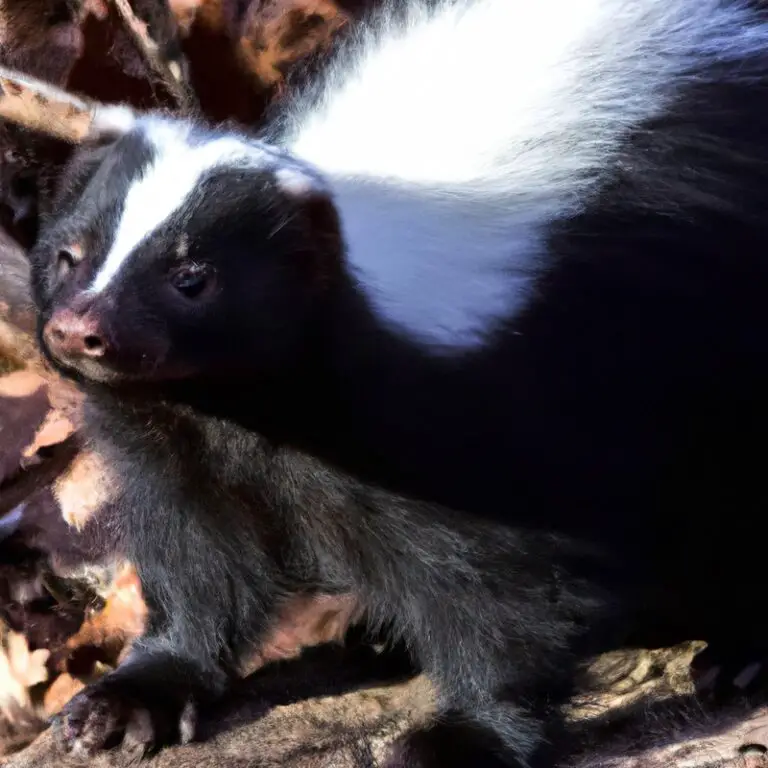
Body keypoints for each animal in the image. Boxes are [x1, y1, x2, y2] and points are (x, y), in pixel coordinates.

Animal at [28, 0, 768, 764]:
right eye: (69, 255)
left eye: (192, 279)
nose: (80, 330)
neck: (236, 401)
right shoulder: (182, 443)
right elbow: (198, 558)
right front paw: (137, 693)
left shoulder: (468, 420)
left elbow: (505, 590)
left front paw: (466, 736)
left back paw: (741, 654)